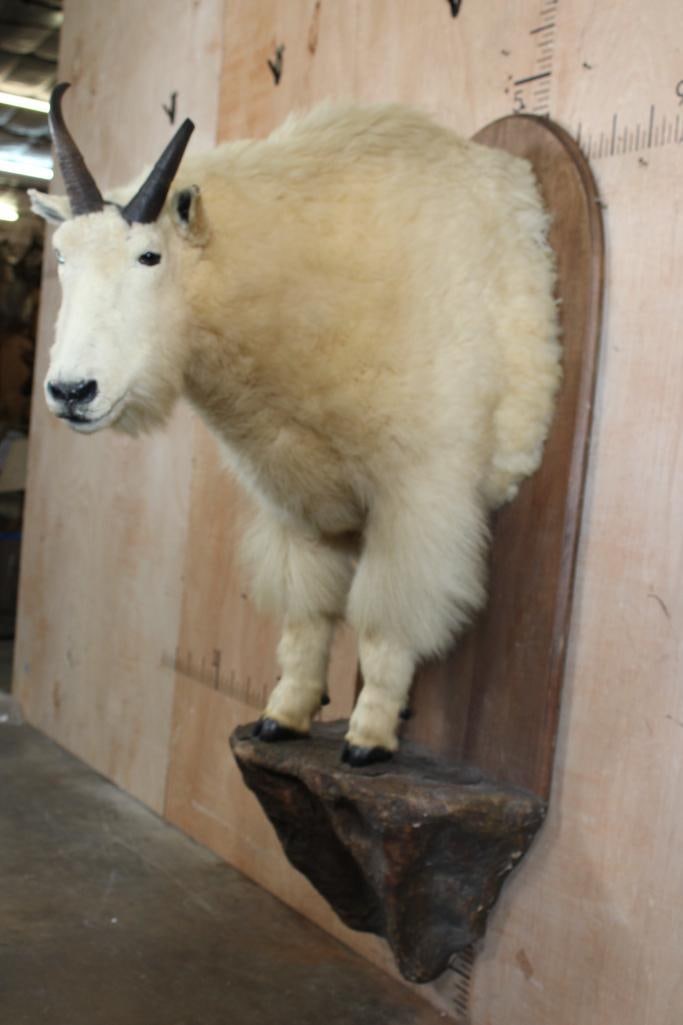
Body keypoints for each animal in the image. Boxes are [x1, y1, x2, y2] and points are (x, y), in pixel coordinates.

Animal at [32, 83, 560, 766]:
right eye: (60, 255)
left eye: (150, 255)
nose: (72, 392)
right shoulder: (298, 507)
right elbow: (306, 613)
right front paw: (284, 716)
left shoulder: (417, 497)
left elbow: (385, 619)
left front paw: (369, 737)